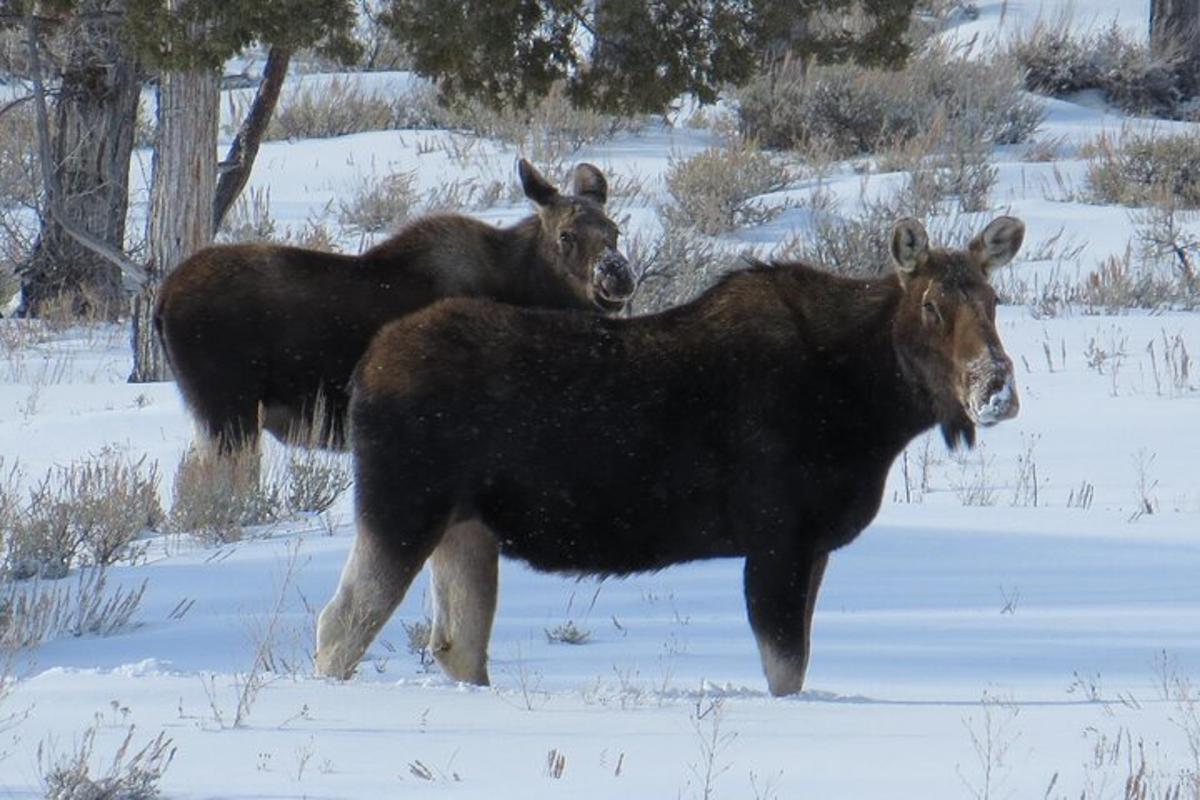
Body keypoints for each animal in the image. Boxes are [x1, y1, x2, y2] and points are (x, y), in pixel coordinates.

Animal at [154, 159, 633, 453]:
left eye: (615, 230)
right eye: (566, 235)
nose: (617, 275)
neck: (524, 290)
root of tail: (161, 302)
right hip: (228, 409)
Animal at [316, 215, 1022, 695]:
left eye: (994, 302)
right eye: (930, 305)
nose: (996, 387)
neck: (869, 406)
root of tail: (363, 371)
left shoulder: (813, 544)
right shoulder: (779, 538)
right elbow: (785, 670)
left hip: (465, 527)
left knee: (455, 646)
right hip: (401, 508)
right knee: (339, 627)